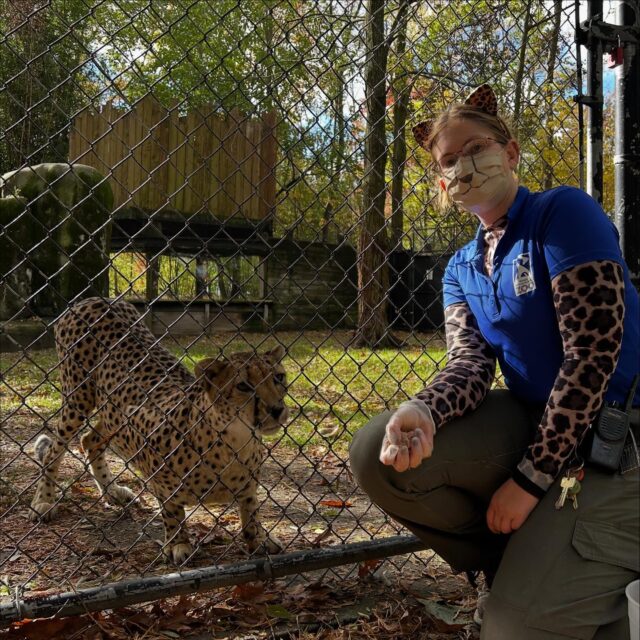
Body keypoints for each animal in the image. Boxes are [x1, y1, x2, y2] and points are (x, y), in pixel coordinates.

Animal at [30, 297, 289, 564]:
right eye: (243, 386)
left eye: (279, 378)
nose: (277, 409)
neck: (236, 441)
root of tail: (94, 299)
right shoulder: (158, 475)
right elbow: (172, 510)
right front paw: (178, 543)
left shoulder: (248, 489)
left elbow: (251, 511)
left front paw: (260, 538)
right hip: (77, 399)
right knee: (54, 450)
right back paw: (43, 501)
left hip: (113, 415)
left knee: (89, 439)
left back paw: (113, 491)